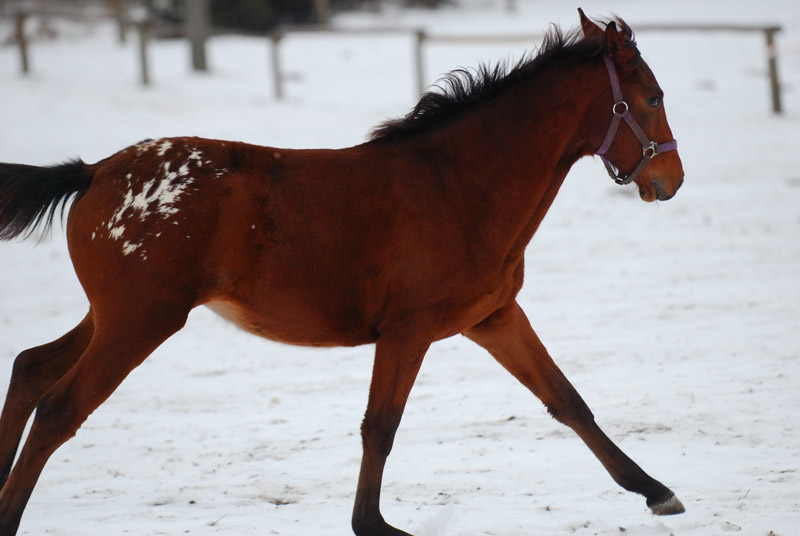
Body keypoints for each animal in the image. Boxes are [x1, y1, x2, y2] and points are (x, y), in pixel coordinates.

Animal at [0, 10, 684, 532]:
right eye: (652, 98)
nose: (670, 180)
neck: (458, 186)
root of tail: (96, 172)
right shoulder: (409, 331)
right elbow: (379, 427)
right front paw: (372, 524)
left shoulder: (492, 318)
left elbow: (568, 401)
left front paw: (656, 490)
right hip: (139, 321)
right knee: (59, 409)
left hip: (117, 317)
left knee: (31, 368)